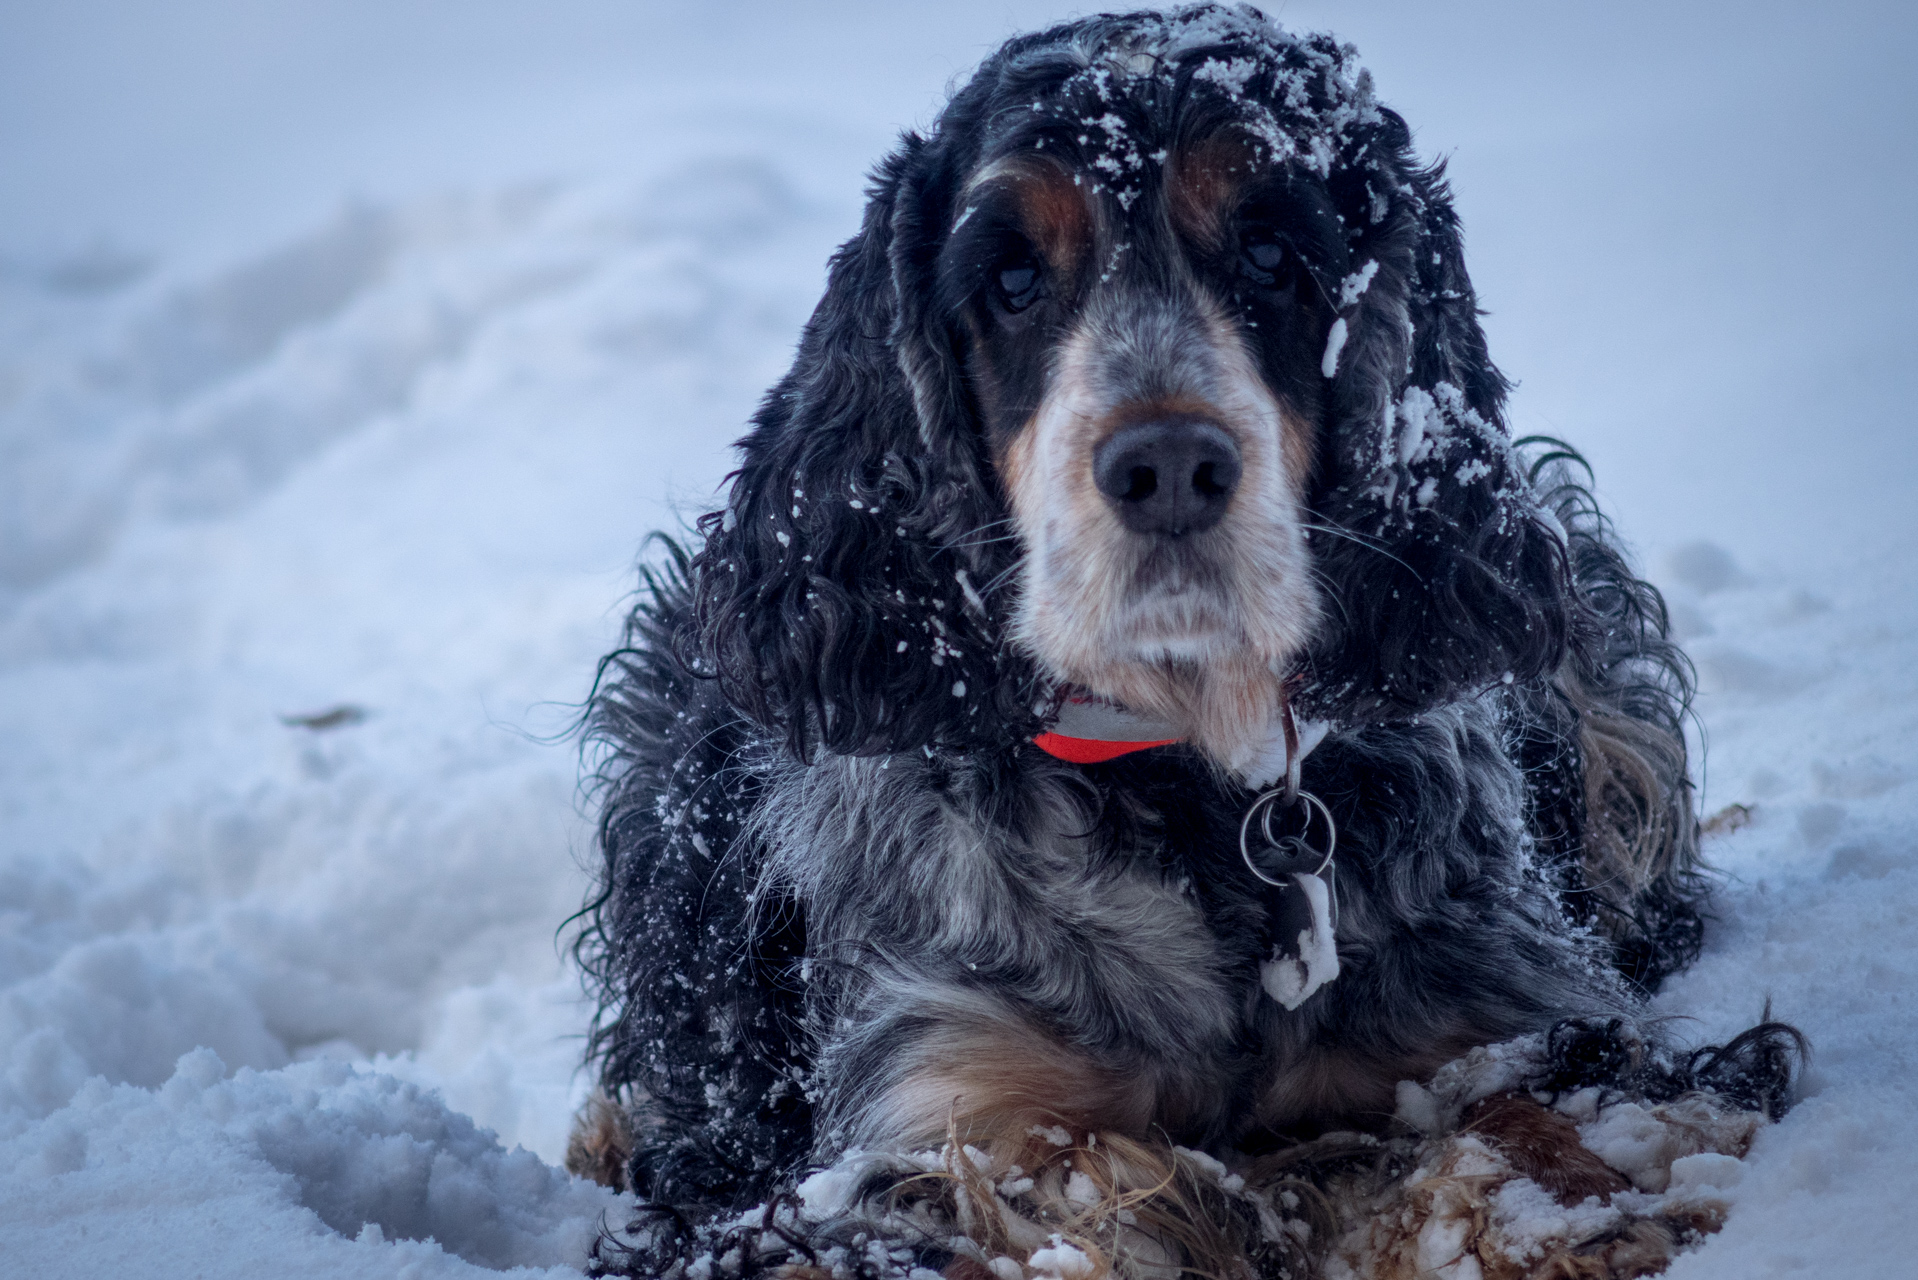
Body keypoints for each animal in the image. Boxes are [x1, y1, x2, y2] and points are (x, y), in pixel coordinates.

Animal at [563, 12, 1795, 1280]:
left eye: (1271, 255)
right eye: (1010, 279)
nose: (1165, 465)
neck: (1190, 775)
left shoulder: (1506, 1010)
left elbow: (1542, 1117)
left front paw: (1563, 1209)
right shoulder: (937, 1100)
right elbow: (1052, 1183)